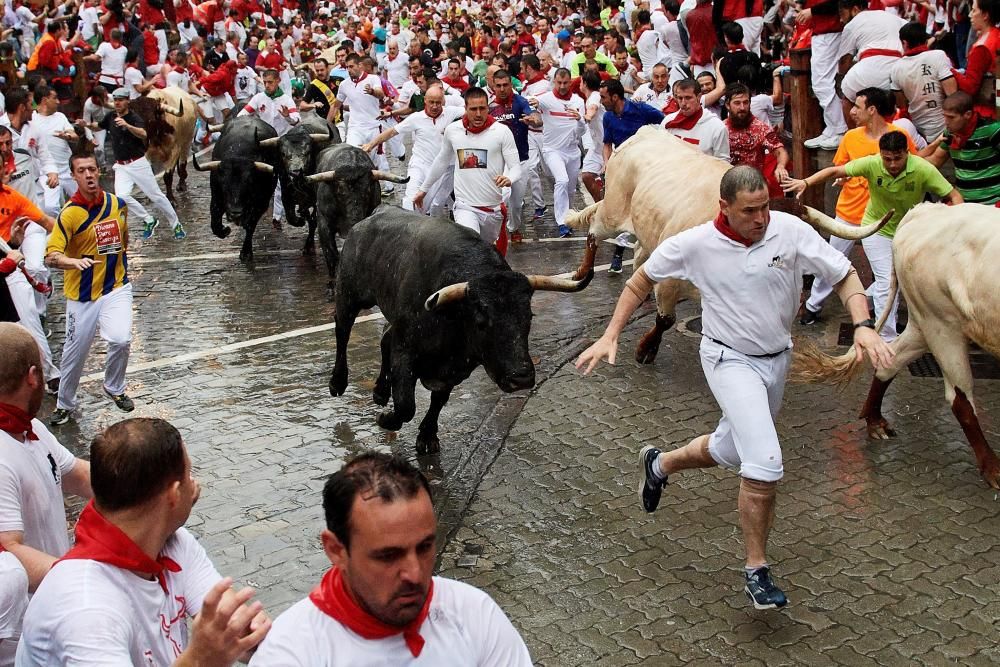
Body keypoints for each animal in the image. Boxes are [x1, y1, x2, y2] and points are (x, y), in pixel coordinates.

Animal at [328, 209, 592, 456]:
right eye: (481, 321)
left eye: (528, 317)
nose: (521, 378)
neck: (452, 317)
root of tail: (369, 218)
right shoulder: (405, 351)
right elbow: (406, 406)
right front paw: (386, 419)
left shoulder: (455, 370)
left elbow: (438, 401)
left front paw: (427, 436)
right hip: (349, 295)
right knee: (342, 331)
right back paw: (337, 382)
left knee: (384, 337)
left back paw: (380, 392)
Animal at [568, 127, 880, 362]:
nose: (805, 279)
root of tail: (645, 132)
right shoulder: (670, 280)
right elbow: (665, 319)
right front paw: (646, 349)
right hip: (613, 209)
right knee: (594, 232)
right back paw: (582, 273)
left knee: (638, 255)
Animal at [792, 204, 1000, 490]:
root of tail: (925, 210)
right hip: (942, 325)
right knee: (960, 399)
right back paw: (994, 469)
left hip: (925, 325)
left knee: (889, 363)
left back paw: (875, 422)